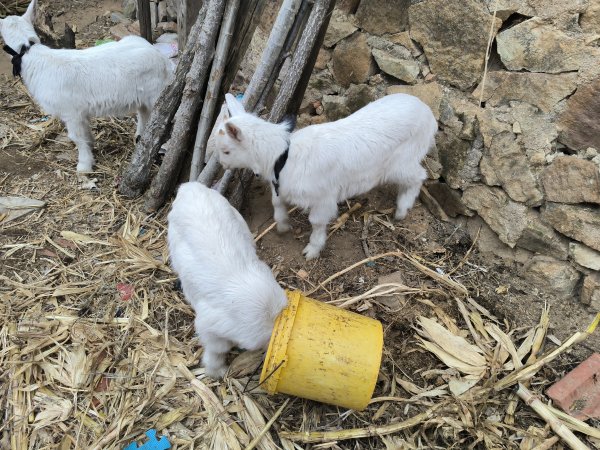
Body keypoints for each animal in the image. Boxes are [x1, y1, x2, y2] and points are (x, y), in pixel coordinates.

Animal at [0, 0, 169, 172]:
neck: (32, 55)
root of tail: (160, 56)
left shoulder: (71, 112)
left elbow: (77, 137)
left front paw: (84, 166)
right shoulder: (80, 112)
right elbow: (85, 133)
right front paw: (91, 146)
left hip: (156, 92)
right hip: (143, 96)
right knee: (144, 114)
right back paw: (140, 138)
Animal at [214, 92, 436, 260]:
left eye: (226, 151)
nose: (223, 165)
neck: (283, 156)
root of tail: (427, 112)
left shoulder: (322, 197)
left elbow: (317, 222)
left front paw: (312, 250)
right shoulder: (281, 186)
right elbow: (277, 204)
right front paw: (283, 226)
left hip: (401, 162)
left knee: (419, 176)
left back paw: (402, 209)